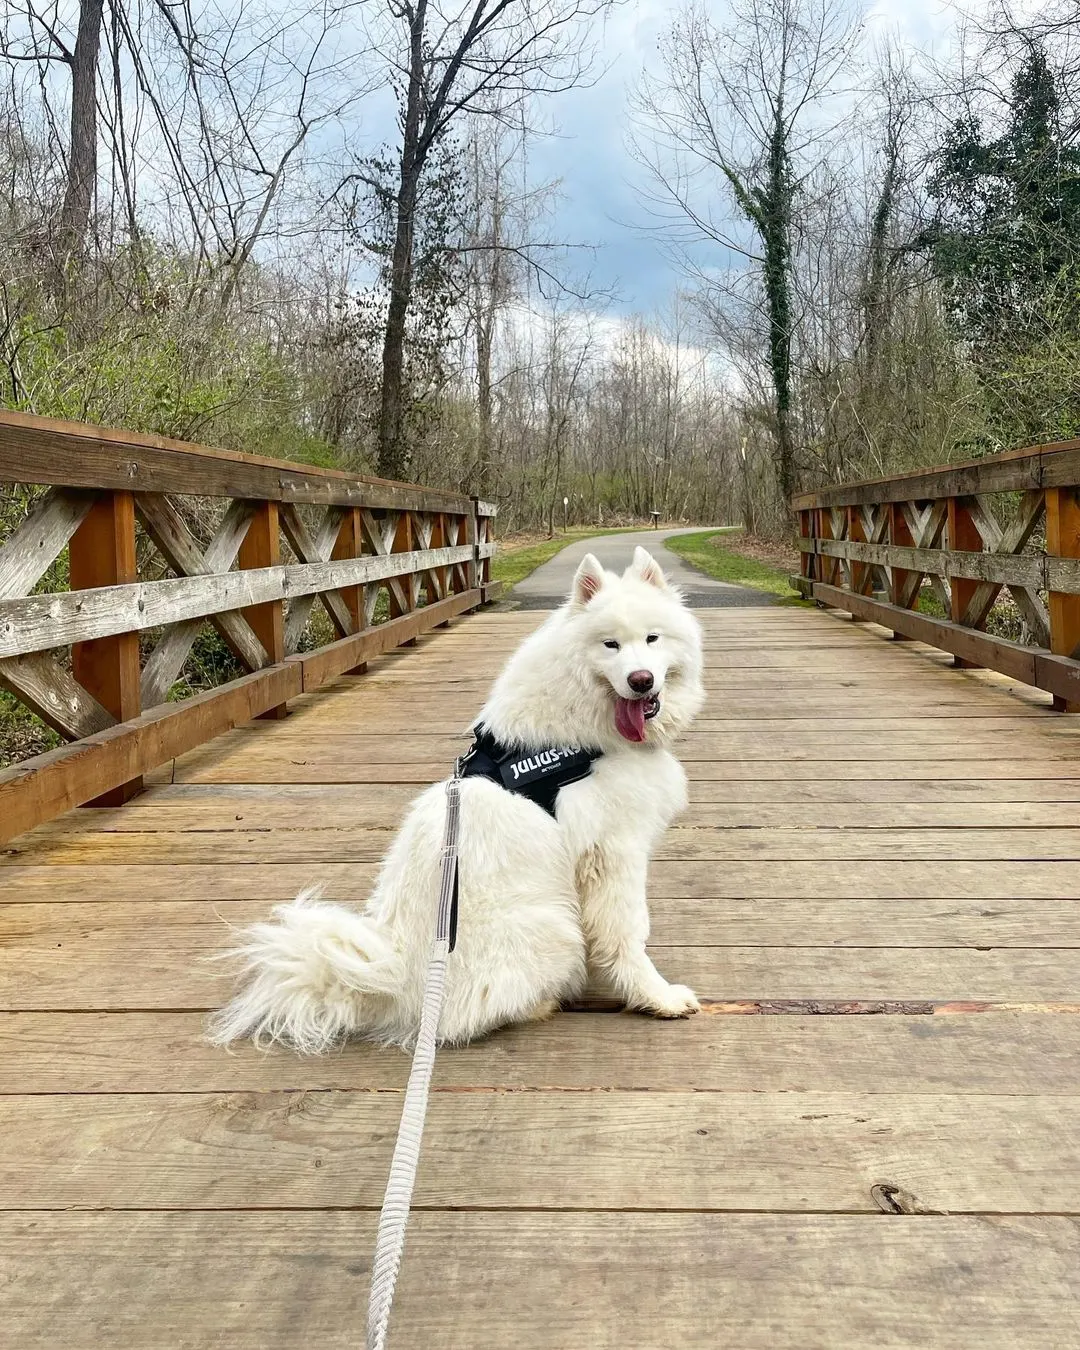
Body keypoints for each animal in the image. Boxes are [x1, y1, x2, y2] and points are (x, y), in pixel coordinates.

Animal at [210, 548, 702, 1053]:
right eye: (610, 646)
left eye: (652, 638)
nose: (641, 681)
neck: (584, 726)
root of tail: (397, 984)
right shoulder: (614, 854)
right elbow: (628, 935)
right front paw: (658, 997)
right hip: (552, 925)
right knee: (472, 1015)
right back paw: (542, 1003)